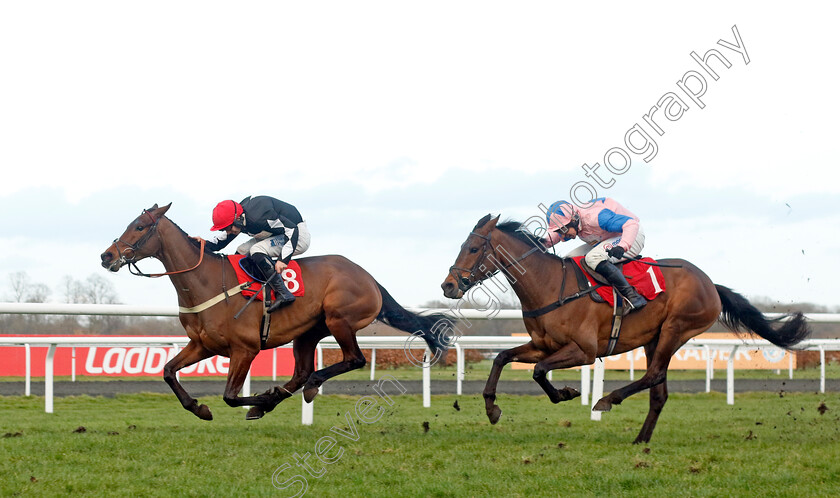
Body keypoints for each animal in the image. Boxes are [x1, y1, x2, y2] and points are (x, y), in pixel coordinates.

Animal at [100, 205, 446, 420]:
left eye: (139, 227)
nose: (107, 256)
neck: (206, 281)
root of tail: (369, 278)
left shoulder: (245, 349)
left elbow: (230, 396)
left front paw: (261, 399)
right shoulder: (202, 345)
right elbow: (168, 371)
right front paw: (200, 408)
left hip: (339, 320)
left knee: (354, 359)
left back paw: (303, 388)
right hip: (308, 332)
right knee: (302, 371)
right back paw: (285, 393)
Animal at [442, 214, 812, 444]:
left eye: (473, 248)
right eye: (460, 246)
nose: (448, 285)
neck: (549, 286)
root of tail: (711, 284)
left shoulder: (584, 351)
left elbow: (538, 371)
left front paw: (566, 393)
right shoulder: (543, 345)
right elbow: (501, 357)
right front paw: (492, 409)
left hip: (676, 329)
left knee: (653, 376)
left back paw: (608, 399)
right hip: (654, 338)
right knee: (658, 391)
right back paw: (640, 438)